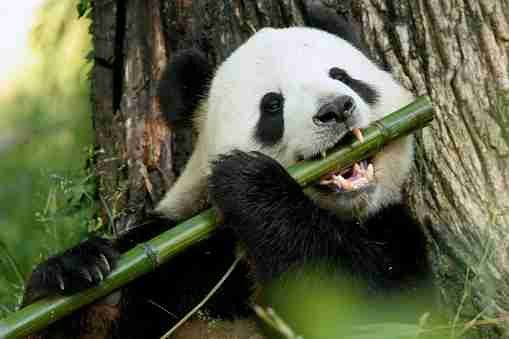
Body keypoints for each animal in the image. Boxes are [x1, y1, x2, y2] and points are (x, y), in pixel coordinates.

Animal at [24, 3, 432, 339]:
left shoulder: (394, 230)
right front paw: (76, 272)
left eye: (342, 75)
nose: (336, 109)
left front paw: (249, 182)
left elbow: (372, 306)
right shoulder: (181, 256)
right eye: (272, 105)